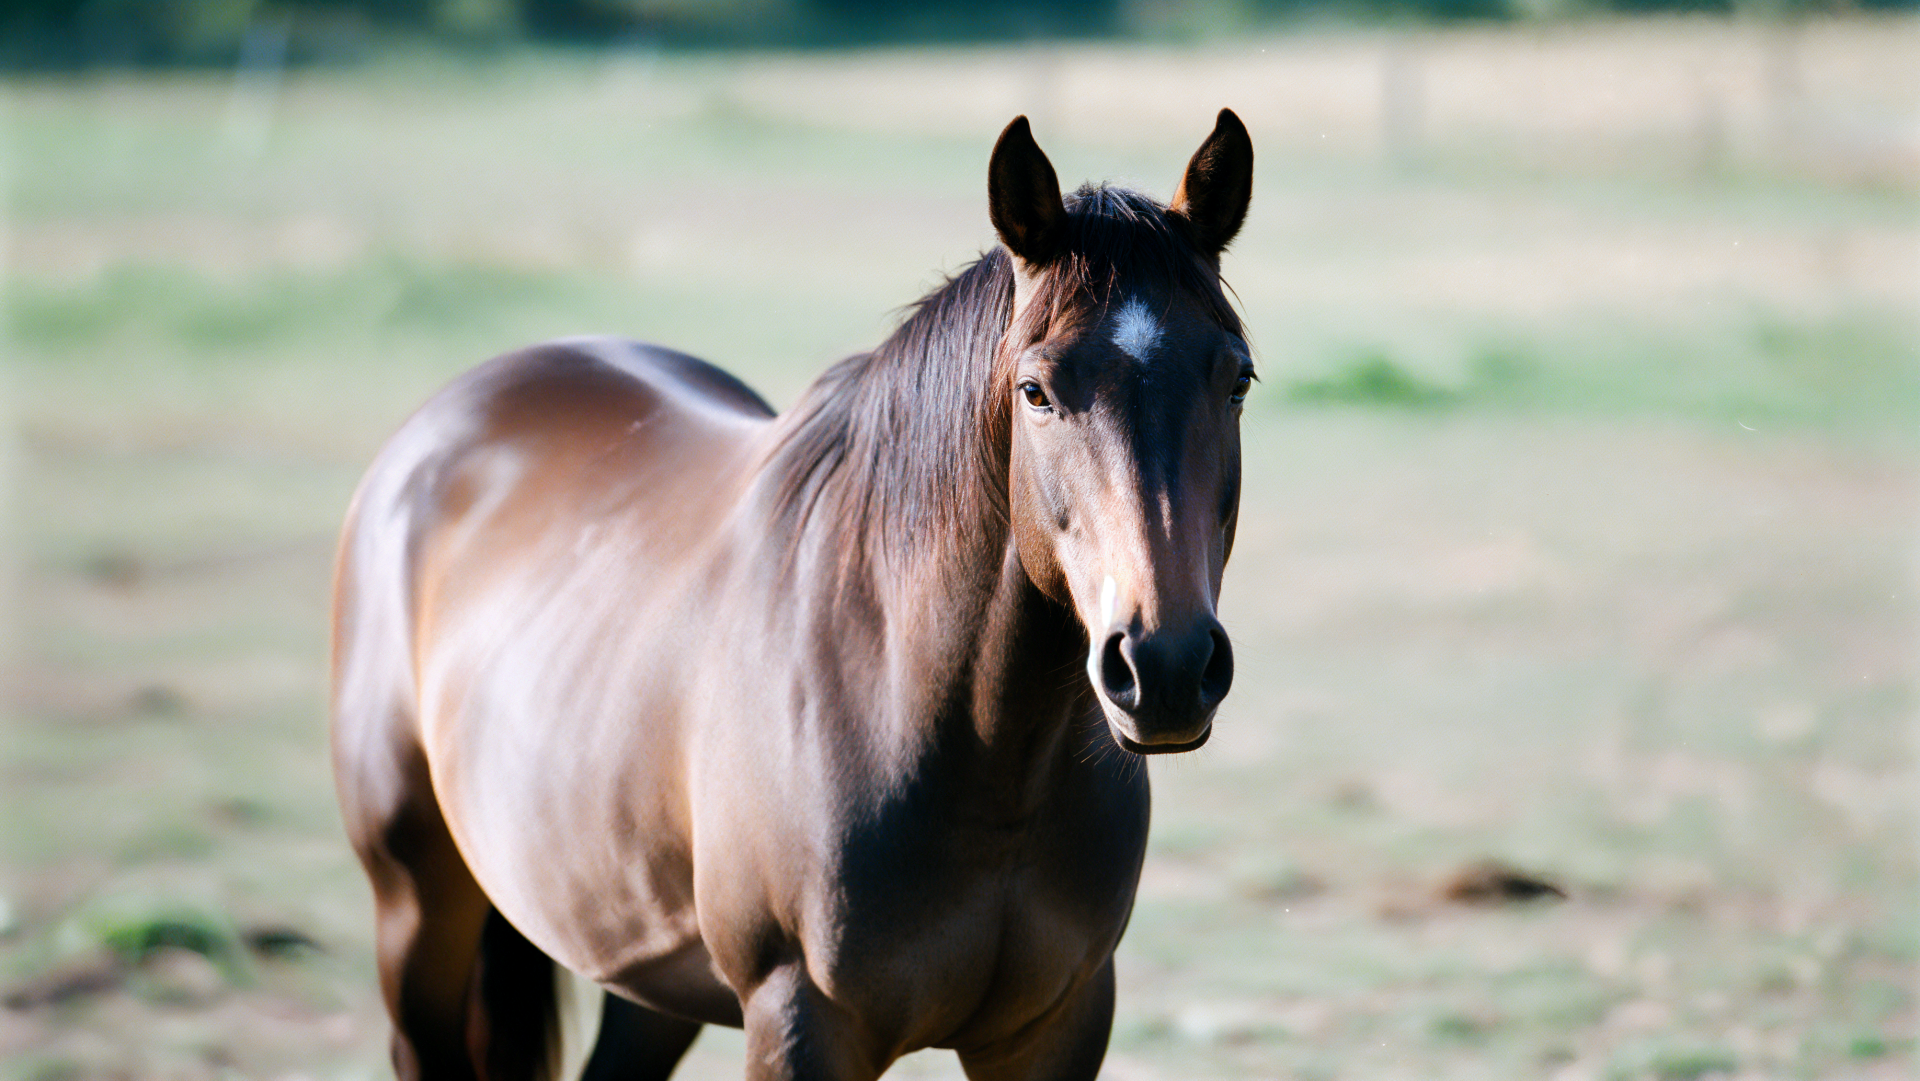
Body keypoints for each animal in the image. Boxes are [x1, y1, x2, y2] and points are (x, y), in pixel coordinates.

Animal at [331, 109, 1254, 1081]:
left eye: (1237, 379)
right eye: (1036, 390)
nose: (1165, 667)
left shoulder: (1059, 1024)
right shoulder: (800, 1019)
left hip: (642, 970)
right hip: (415, 915)